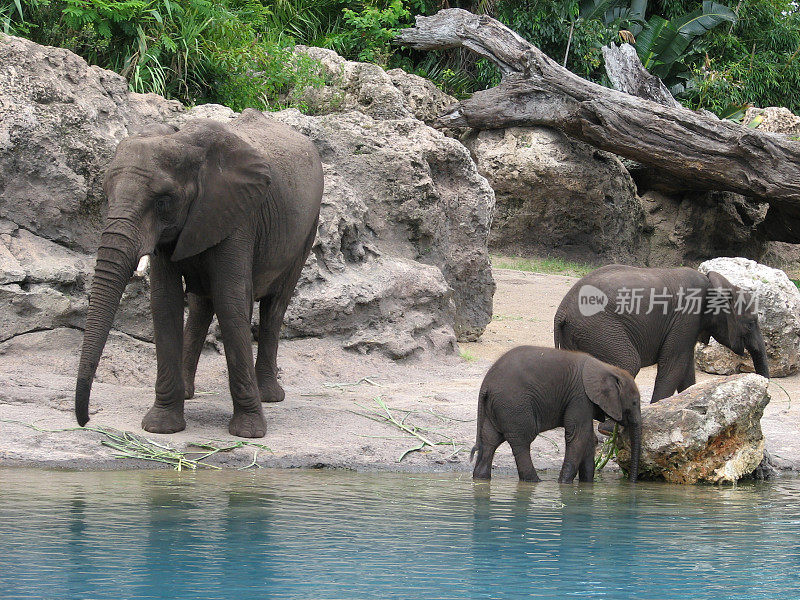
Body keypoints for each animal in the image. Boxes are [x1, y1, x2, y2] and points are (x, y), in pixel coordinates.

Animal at [73, 109, 324, 436]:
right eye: (105, 195)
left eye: (163, 200)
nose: (86, 419)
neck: (185, 143)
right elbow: (164, 302)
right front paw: (161, 426)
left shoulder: (237, 215)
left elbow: (231, 300)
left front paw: (248, 432)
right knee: (201, 305)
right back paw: (190, 392)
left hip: (308, 227)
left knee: (274, 306)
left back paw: (269, 396)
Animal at [472, 346, 640, 482]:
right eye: (634, 403)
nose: (631, 482)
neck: (607, 368)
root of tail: (486, 385)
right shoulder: (580, 396)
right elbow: (578, 436)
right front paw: (564, 484)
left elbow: (589, 438)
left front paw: (586, 484)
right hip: (514, 404)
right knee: (522, 442)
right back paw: (534, 481)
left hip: (498, 407)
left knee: (490, 440)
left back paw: (480, 478)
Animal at [556, 264, 768, 400]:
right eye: (751, 323)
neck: (718, 285)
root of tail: (562, 312)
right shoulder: (686, 316)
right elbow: (674, 365)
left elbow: (686, 369)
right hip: (598, 328)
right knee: (628, 362)